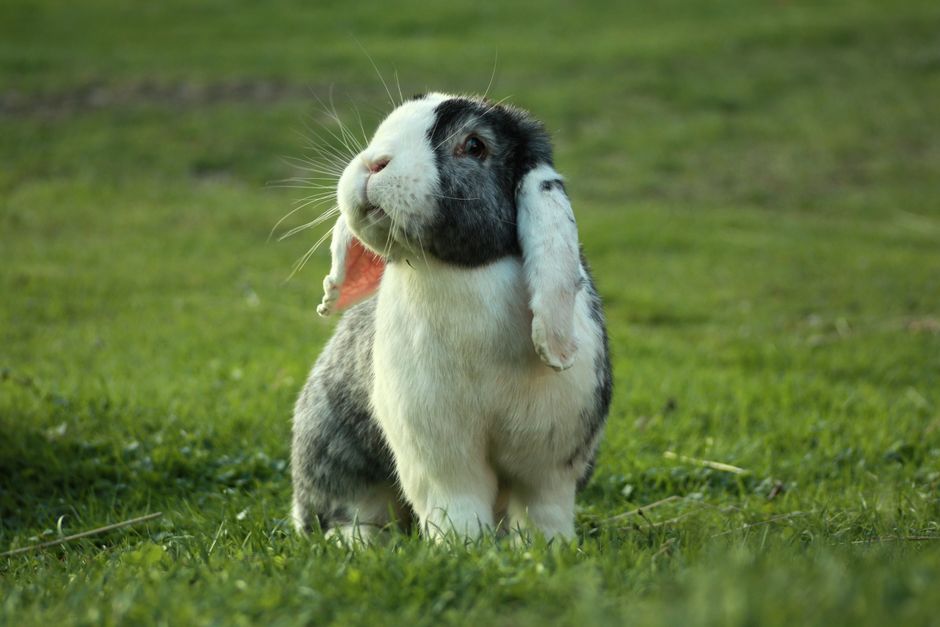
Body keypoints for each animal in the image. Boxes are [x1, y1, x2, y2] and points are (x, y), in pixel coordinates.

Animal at [290, 92, 612, 542]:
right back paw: (359, 544)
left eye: (474, 146)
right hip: (332, 451)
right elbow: (457, 504)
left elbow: (543, 510)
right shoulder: (438, 449)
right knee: (347, 512)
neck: (460, 270)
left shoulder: (550, 459)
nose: (374, 163)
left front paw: (548, 551)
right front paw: (462, 548)